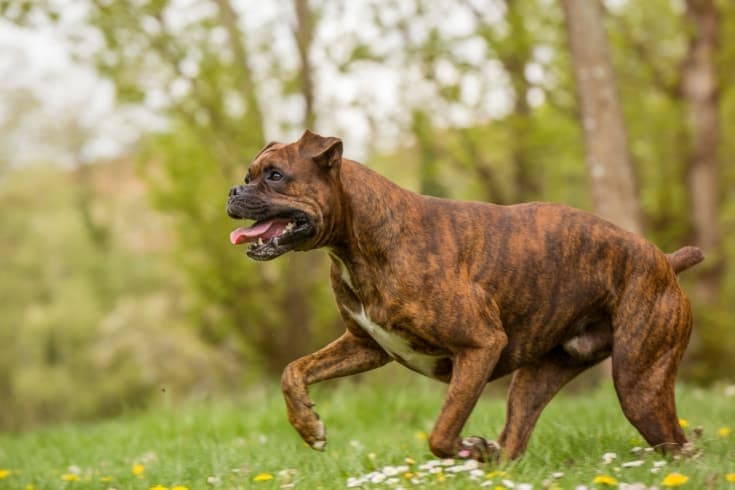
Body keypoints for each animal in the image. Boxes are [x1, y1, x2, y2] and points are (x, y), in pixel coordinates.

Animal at [227, 129, 704, 460]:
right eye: (248, 176)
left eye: (275, 176)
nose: (233, 191)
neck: (360, 241)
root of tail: (664, 260)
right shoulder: (366, 344)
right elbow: (293, 371)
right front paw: (308, 426)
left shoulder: (479, 347)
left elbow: (442, 432)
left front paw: (467, 448)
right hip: (536, 382)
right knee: (514, 443)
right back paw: (495, 456)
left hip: (639, 383)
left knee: (681, 446)